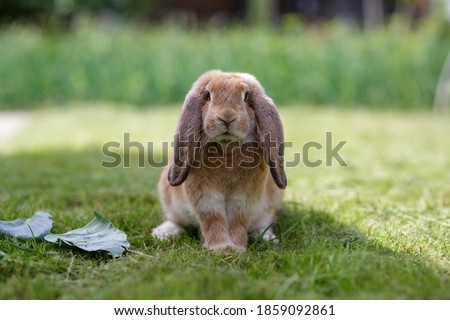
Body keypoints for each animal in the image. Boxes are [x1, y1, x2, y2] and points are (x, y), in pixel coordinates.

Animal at [153, 70, 286, 252]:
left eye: (246, 97)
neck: (226, 149)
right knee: (176, 220)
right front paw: (221, 248)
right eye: (208, 96)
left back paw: (268, 238)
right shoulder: (206, 198)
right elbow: (213, 220)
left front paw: (236, 248)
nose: (226, 117)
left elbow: (238, 221)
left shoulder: (244, 199)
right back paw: (163, 233)